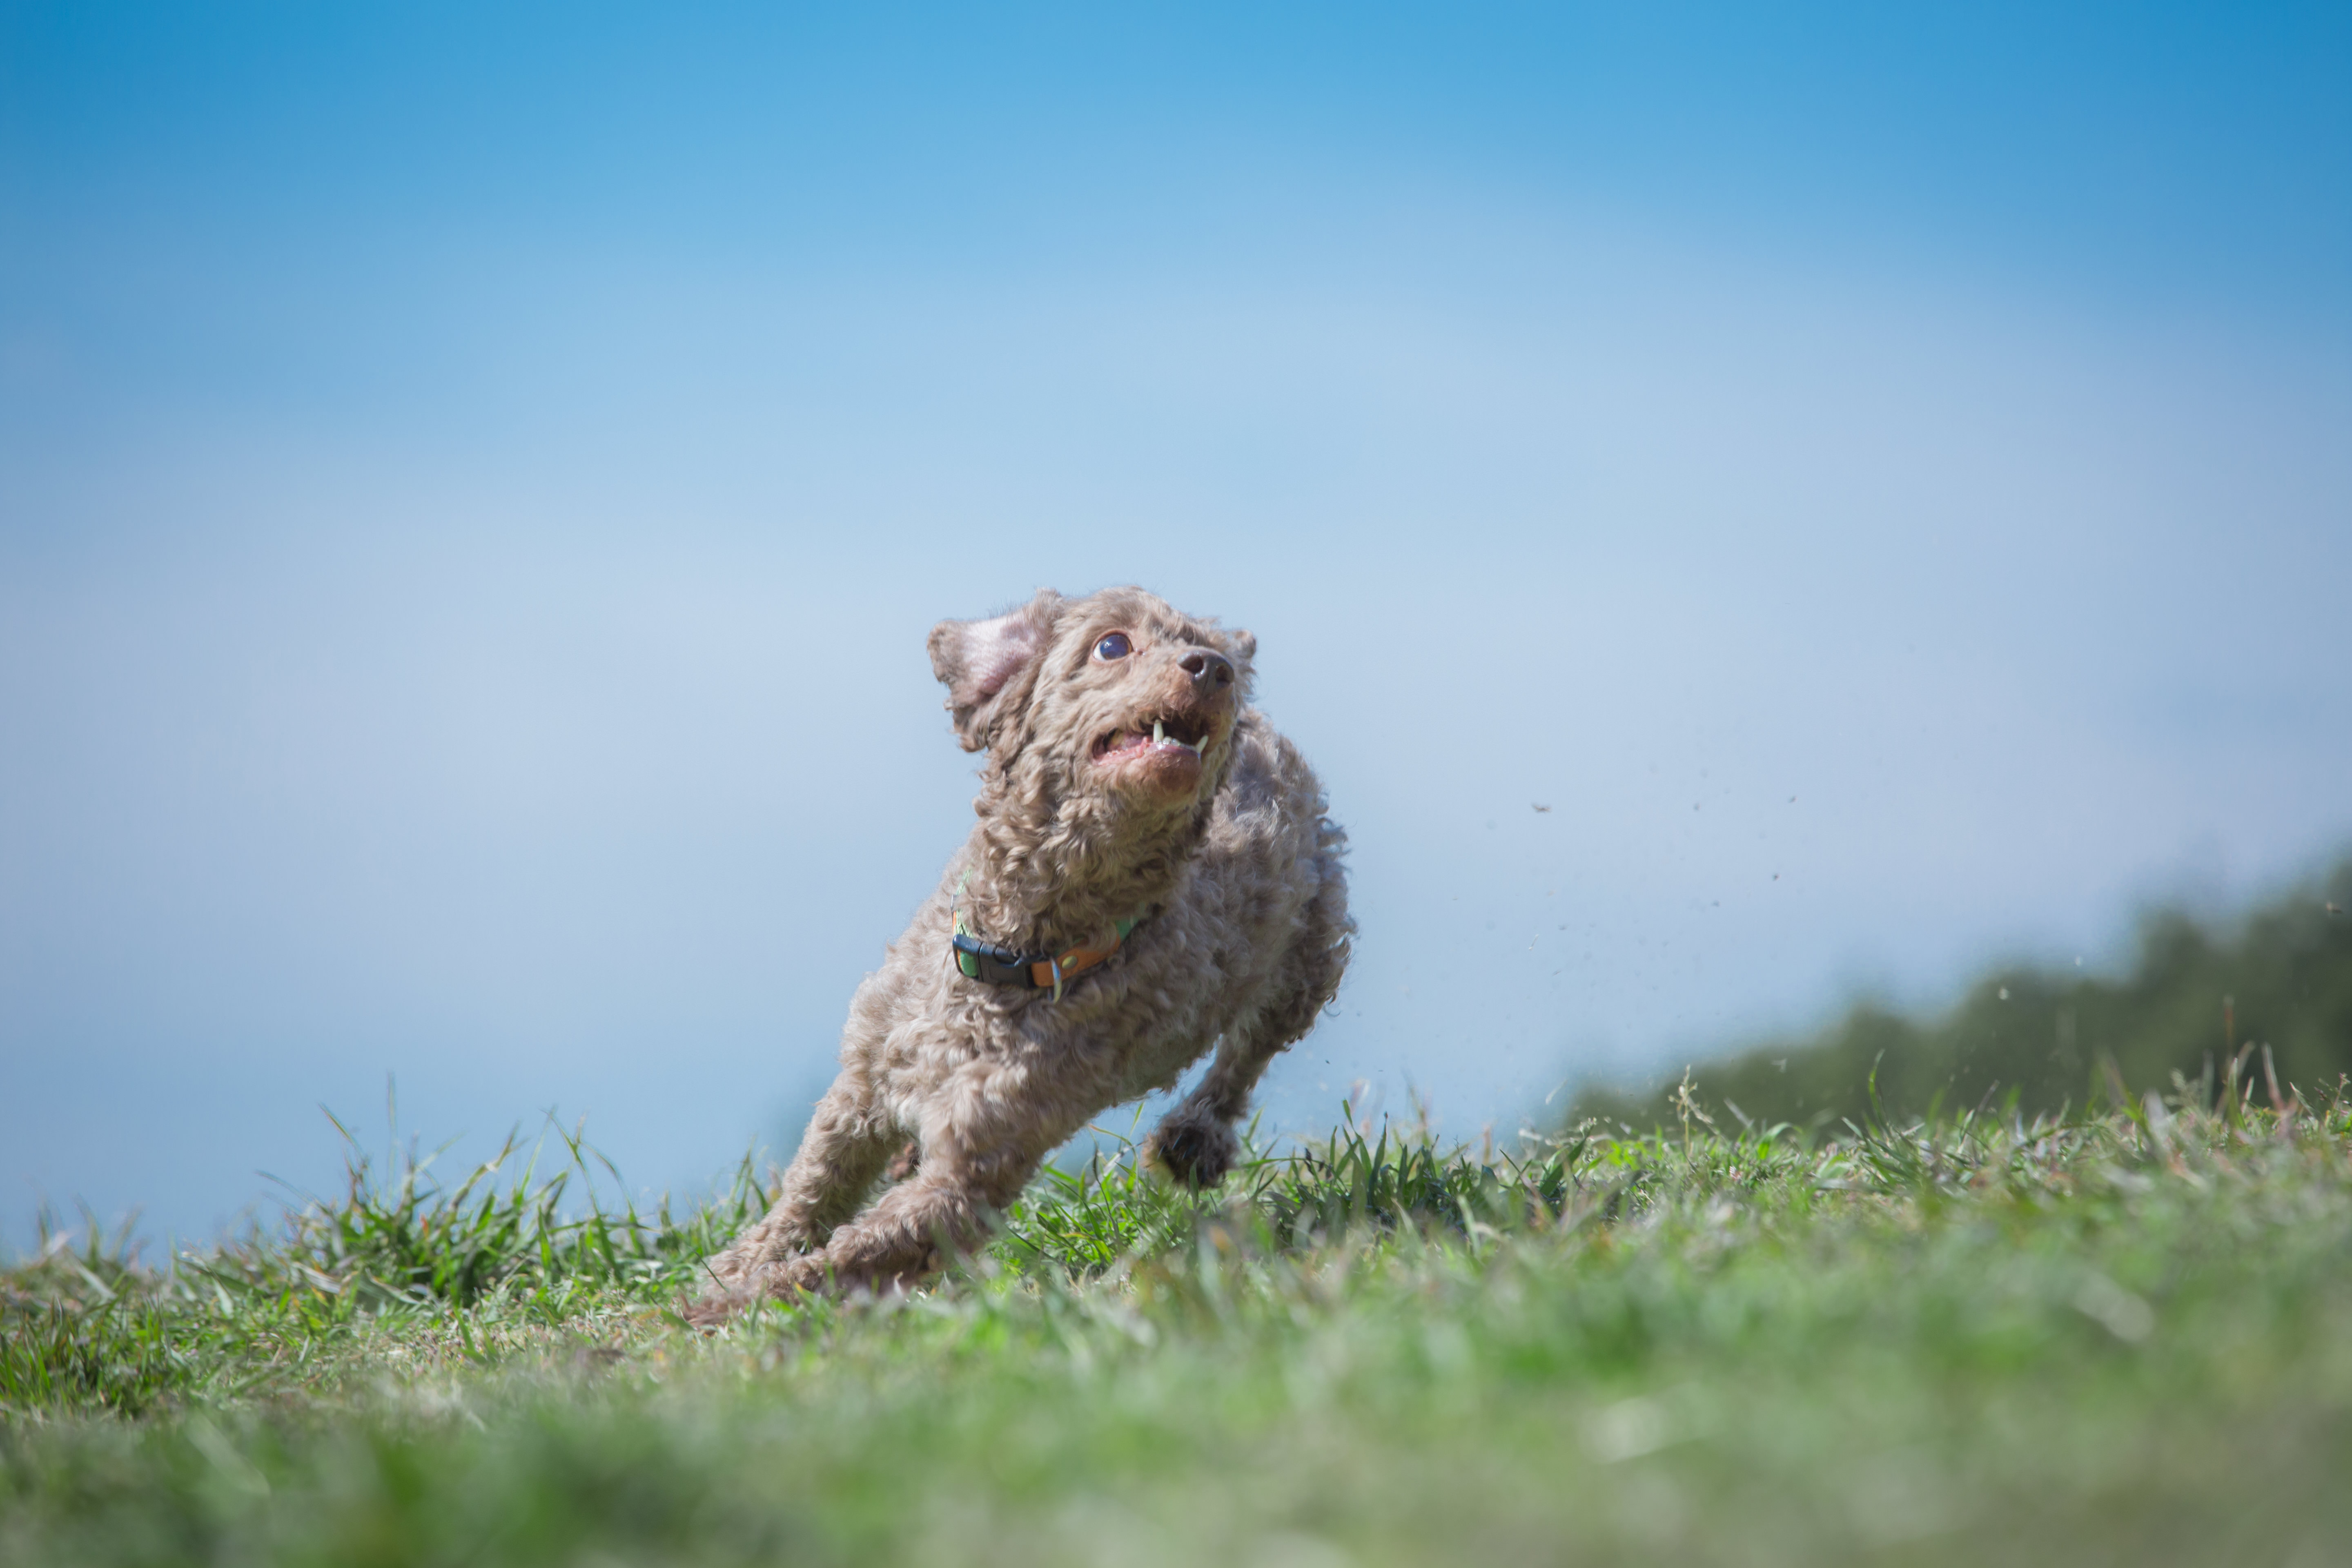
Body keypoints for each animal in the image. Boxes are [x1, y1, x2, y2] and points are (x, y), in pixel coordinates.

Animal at [686, 583, 1354, 1316]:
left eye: (1209, 653)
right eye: (1112, 645)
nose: (1215, 668)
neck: (1015, 949)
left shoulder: (973, 1171)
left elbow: (843, 1259)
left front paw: (728, 1306)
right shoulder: (860, 1087)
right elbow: (810, 1193)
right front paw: (736, 1266)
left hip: (1309, 955)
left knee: (1247, 1056)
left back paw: (1195, 1137)